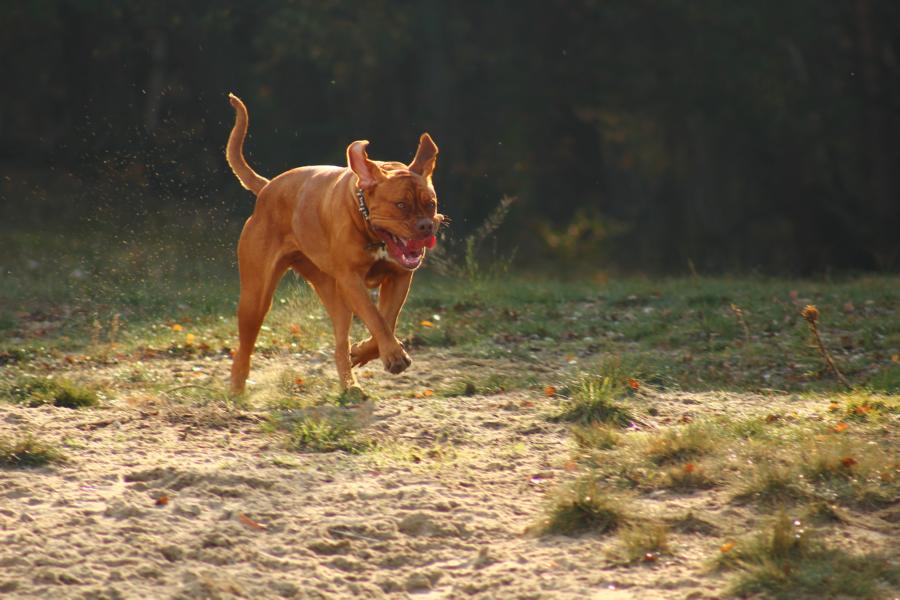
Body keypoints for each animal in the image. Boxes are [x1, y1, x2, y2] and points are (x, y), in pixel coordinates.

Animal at [221, 92, 440, 394]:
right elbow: (376, 317)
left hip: (334, 295)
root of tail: (266, 188)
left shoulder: (398, 278)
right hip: (256, 298)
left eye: (431, 204)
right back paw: (237, 390)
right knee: (244, 346)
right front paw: (394, 355)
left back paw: (350, 383)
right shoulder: (352, 281)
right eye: (401, 205)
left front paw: (367, 351)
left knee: (339, 343)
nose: (426, 226)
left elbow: (387, 318)